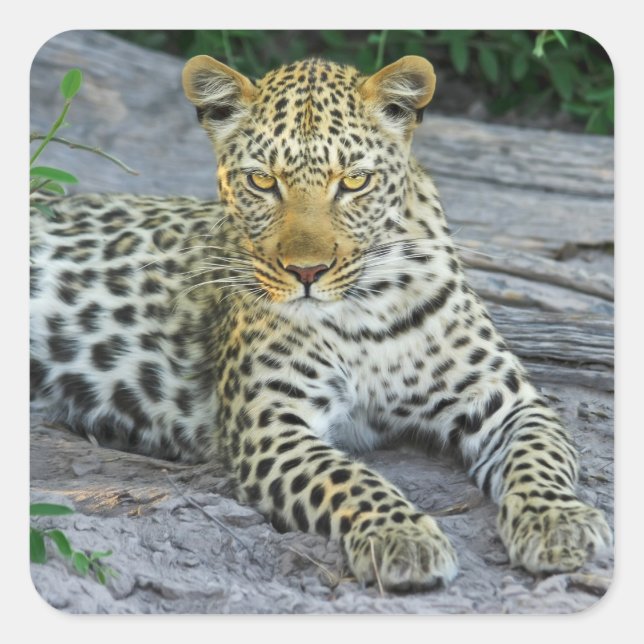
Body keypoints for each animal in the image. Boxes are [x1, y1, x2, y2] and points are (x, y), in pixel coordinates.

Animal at [30, 54, 612, 592]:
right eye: (262, 181)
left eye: (353, 181)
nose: (307, 272)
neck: (367, 309)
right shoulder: (271, 423)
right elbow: (346, 478)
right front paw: (402, 536)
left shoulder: (505, 399)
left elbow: (539, 458)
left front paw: (559, 522)